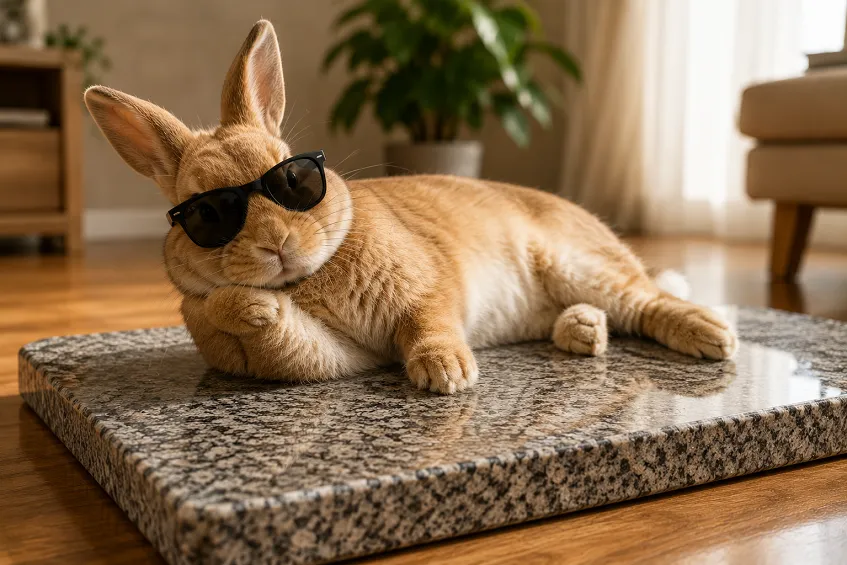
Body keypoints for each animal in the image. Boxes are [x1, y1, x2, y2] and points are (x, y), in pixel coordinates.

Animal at [84, 20, 737, 395]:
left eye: (293, 176)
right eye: (204, 215)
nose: (277, 246)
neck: (308, 280)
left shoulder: (429, 289)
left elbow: (431, 322)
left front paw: (446, 376)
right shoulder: (326, 356)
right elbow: (265, 323)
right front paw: (245, 305)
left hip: (578, 263)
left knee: (648, 300)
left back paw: (712, 335)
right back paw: (583, 332)